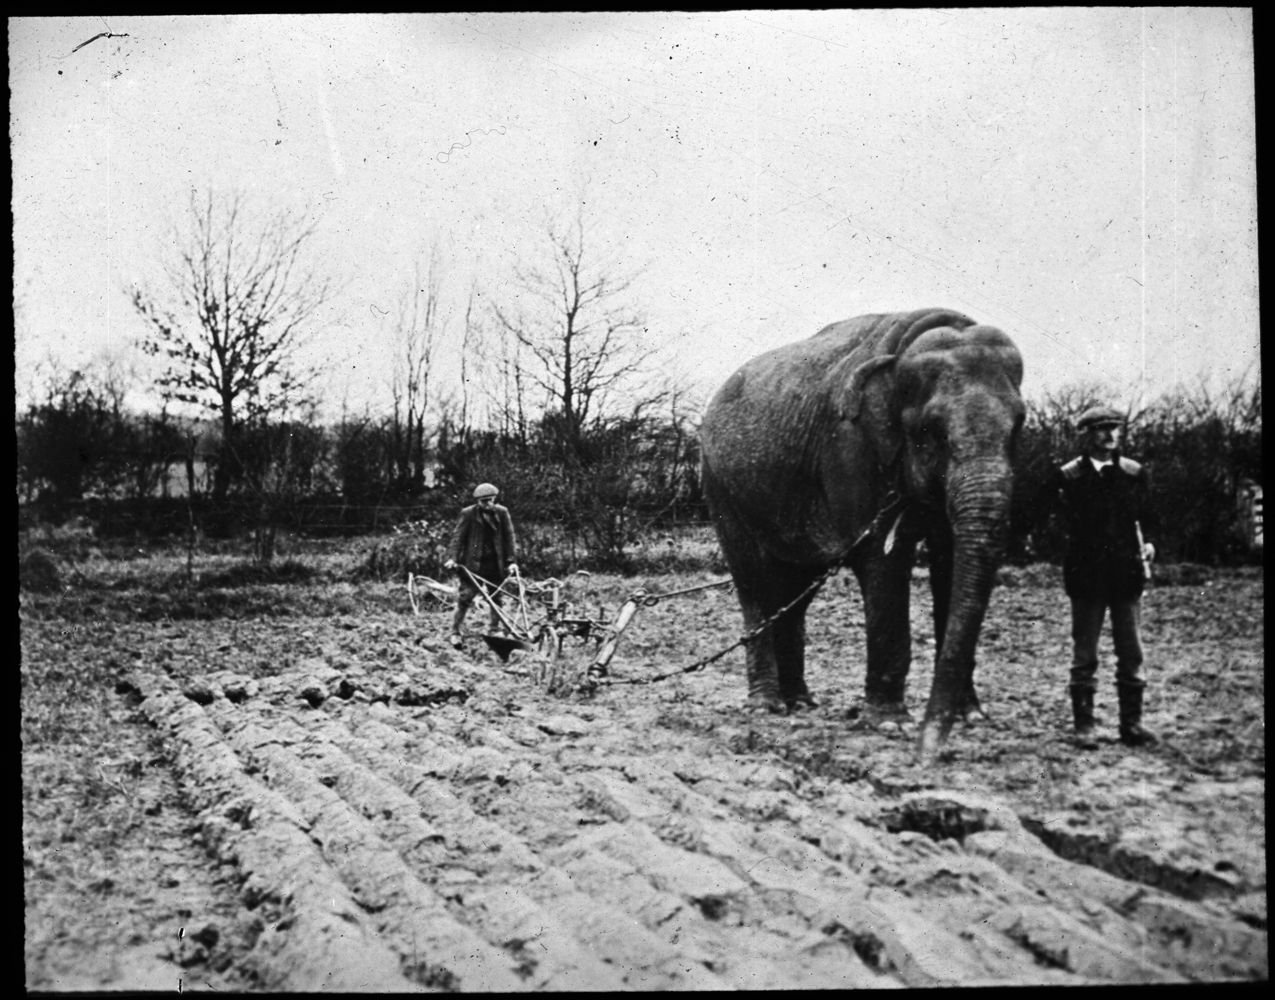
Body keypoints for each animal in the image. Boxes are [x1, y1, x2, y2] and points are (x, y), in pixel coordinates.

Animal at [698, 304, 1025, 760]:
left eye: (1019, 426)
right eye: (932, 430)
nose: (929, 752)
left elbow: (949, 558)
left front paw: (971, 718)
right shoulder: (851, 447)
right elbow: (883, 559)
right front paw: (890, 724)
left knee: (795, 591)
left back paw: (801, 702)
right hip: (721, 487)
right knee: (754, 584)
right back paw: (767, 707)